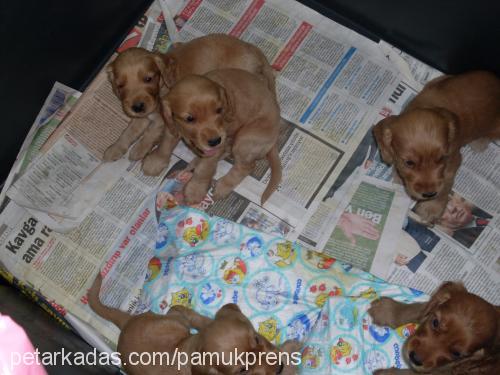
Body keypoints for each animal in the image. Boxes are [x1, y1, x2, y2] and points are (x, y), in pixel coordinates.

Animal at [374, 71, 500, 225]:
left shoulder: (454, 159)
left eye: (441, 158)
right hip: (437, 80)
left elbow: (445, 184)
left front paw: (431, 207)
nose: (429, 194)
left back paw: (480, 142)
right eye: (409, 163)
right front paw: (398, 175)